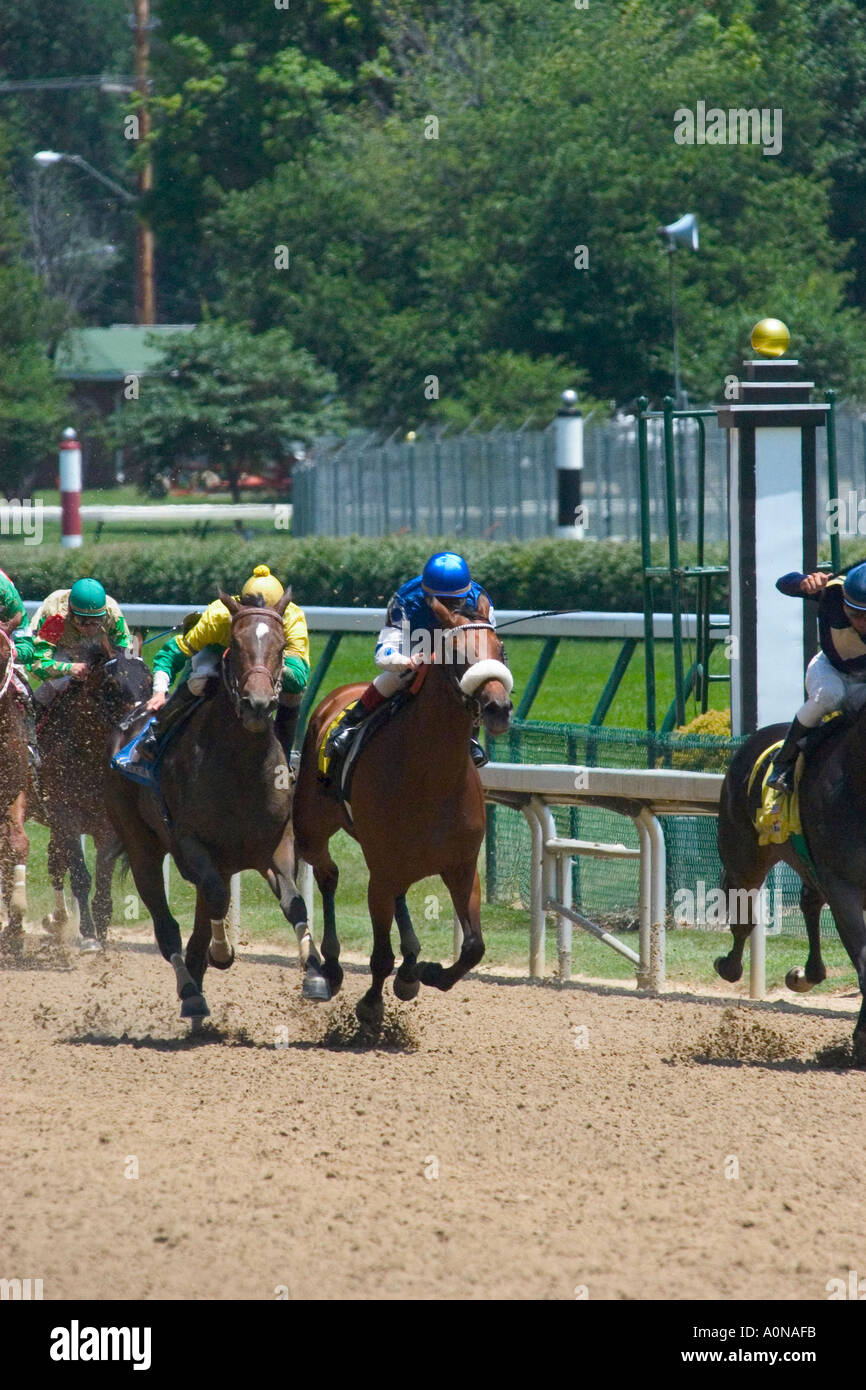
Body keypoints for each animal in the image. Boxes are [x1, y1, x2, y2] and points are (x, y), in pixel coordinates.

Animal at [35, 636, 152, 945]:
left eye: (149, 681)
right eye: (112, 683)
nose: (140, 722)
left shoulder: (107, 823)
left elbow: (102, 877)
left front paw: (101, 928)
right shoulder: (66, 815)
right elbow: (80, 875)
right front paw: (88, 935)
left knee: (54, 861)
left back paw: (58, 919)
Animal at [104, 592, 328, 1028]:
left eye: (281, 647)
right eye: (235, 646)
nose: (258, 704)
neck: (241, 768)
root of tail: (133, 716)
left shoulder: (277, 844)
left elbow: (294, 904)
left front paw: (314, 973)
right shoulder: (190, 842)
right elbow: (216, 898)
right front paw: (222, 953)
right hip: (141, 844)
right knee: (167, 927)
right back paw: (191, 993)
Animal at [294, 592, 514, 1028]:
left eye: (501, 650)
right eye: (457, 654)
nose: (499, 707)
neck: (431, 775)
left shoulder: (462, 866)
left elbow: (474, 947)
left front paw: (428, 972)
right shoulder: (378, 872)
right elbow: (380, 956)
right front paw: (370, 1004)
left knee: (397, 894)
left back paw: (411, 963)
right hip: (312, 830)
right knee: (328, 875)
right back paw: (330, 966)